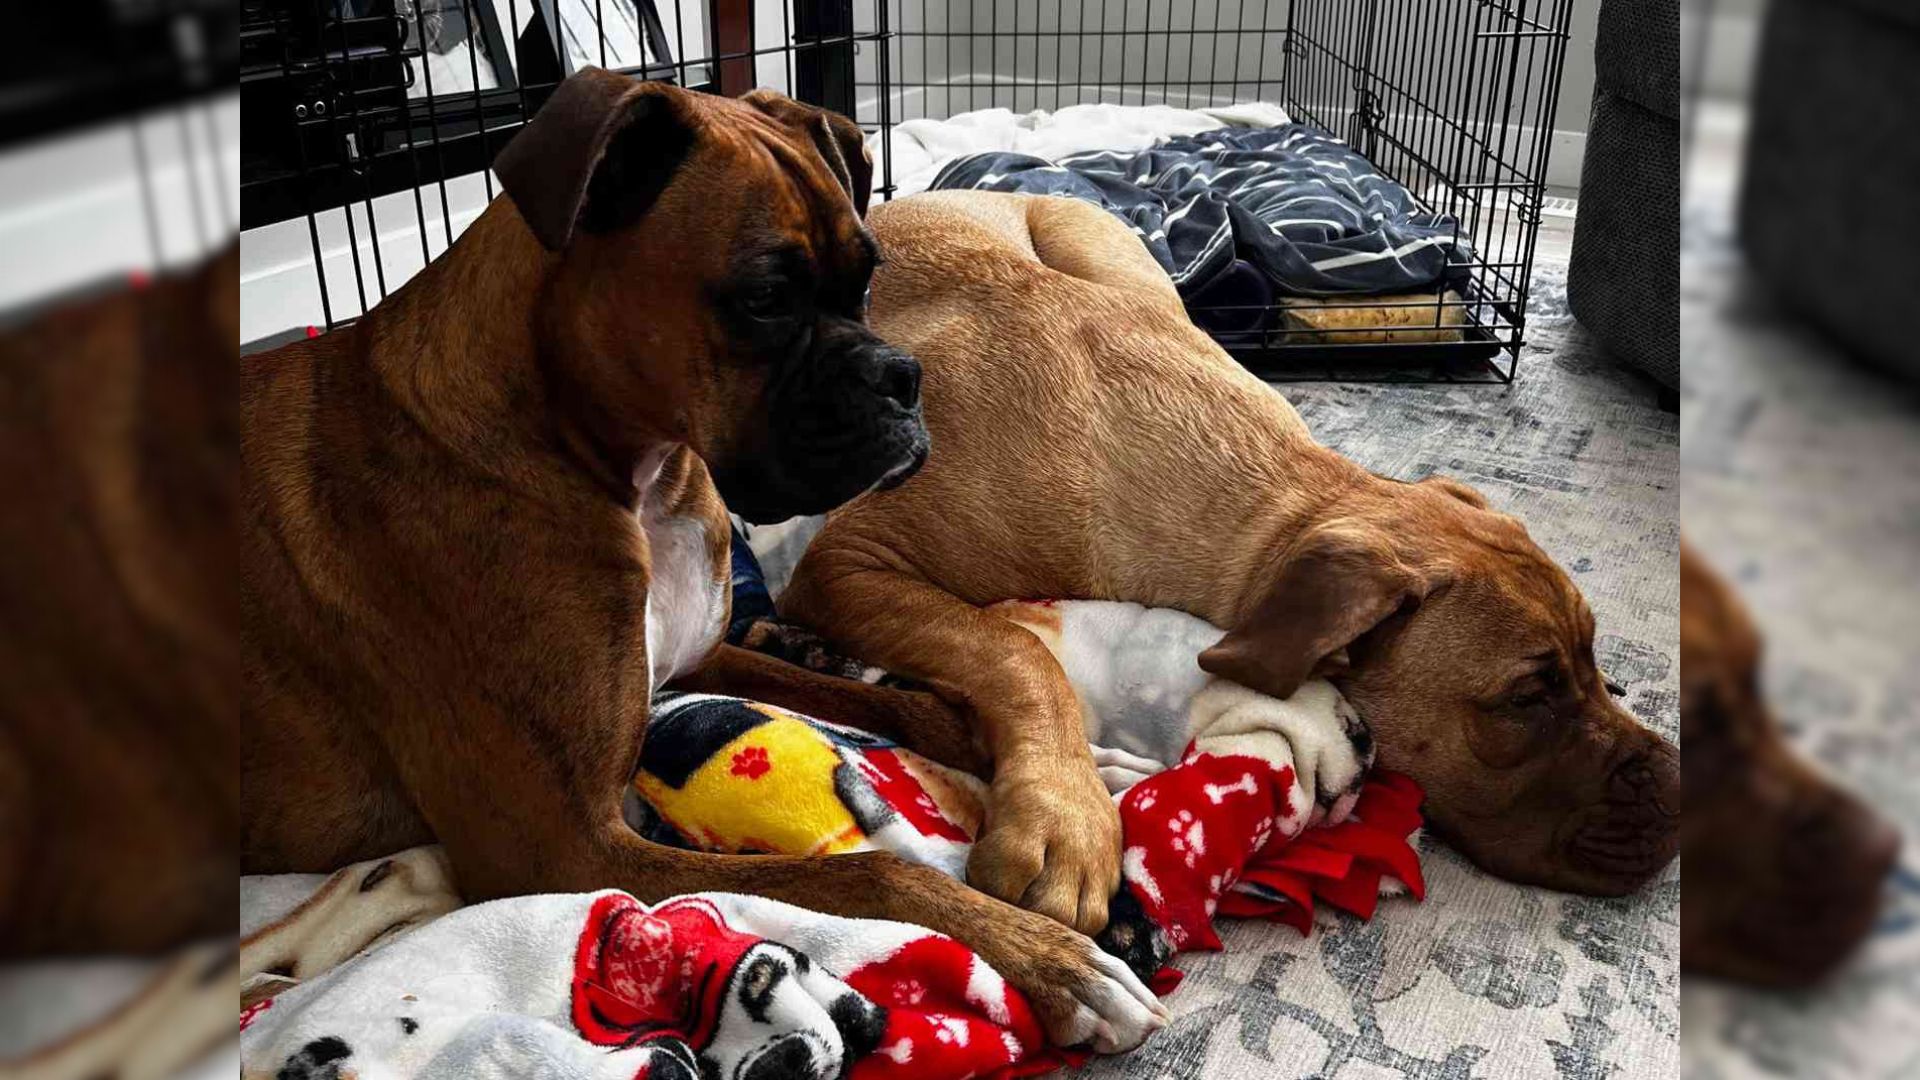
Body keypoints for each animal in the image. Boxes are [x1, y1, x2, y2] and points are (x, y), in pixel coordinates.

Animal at [241, 71, 1167, 1045]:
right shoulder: (563, 848)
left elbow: (900, 706)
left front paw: (1072, 782)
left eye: (868, 277)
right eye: (763, 298)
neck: (627, 471)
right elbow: (870, 873)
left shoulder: (693, 660)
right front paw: (1054, 963)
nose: (903, 377)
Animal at [779, 187, 1681, 914]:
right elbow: (1011, 650)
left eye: (1591, 658)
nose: (1679, 784)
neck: (1286, 502)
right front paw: (1065, 812)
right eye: (1526, 697)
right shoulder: (847, 562)